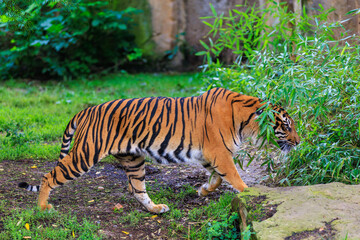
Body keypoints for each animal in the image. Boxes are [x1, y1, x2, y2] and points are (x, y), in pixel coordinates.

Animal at [18, 87, 300, 213]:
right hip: (84, 155)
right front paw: (249, 194)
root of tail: (86, 110)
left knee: (137, 189)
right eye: (287, 125)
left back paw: (156, 209)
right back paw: (43, 207)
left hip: (133, 160)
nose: (298, 142)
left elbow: (218, 179)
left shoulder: (209, 156)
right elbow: (235, 179)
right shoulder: (220, 154)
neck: (246, 121)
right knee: (49, 176)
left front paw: (203, 190)